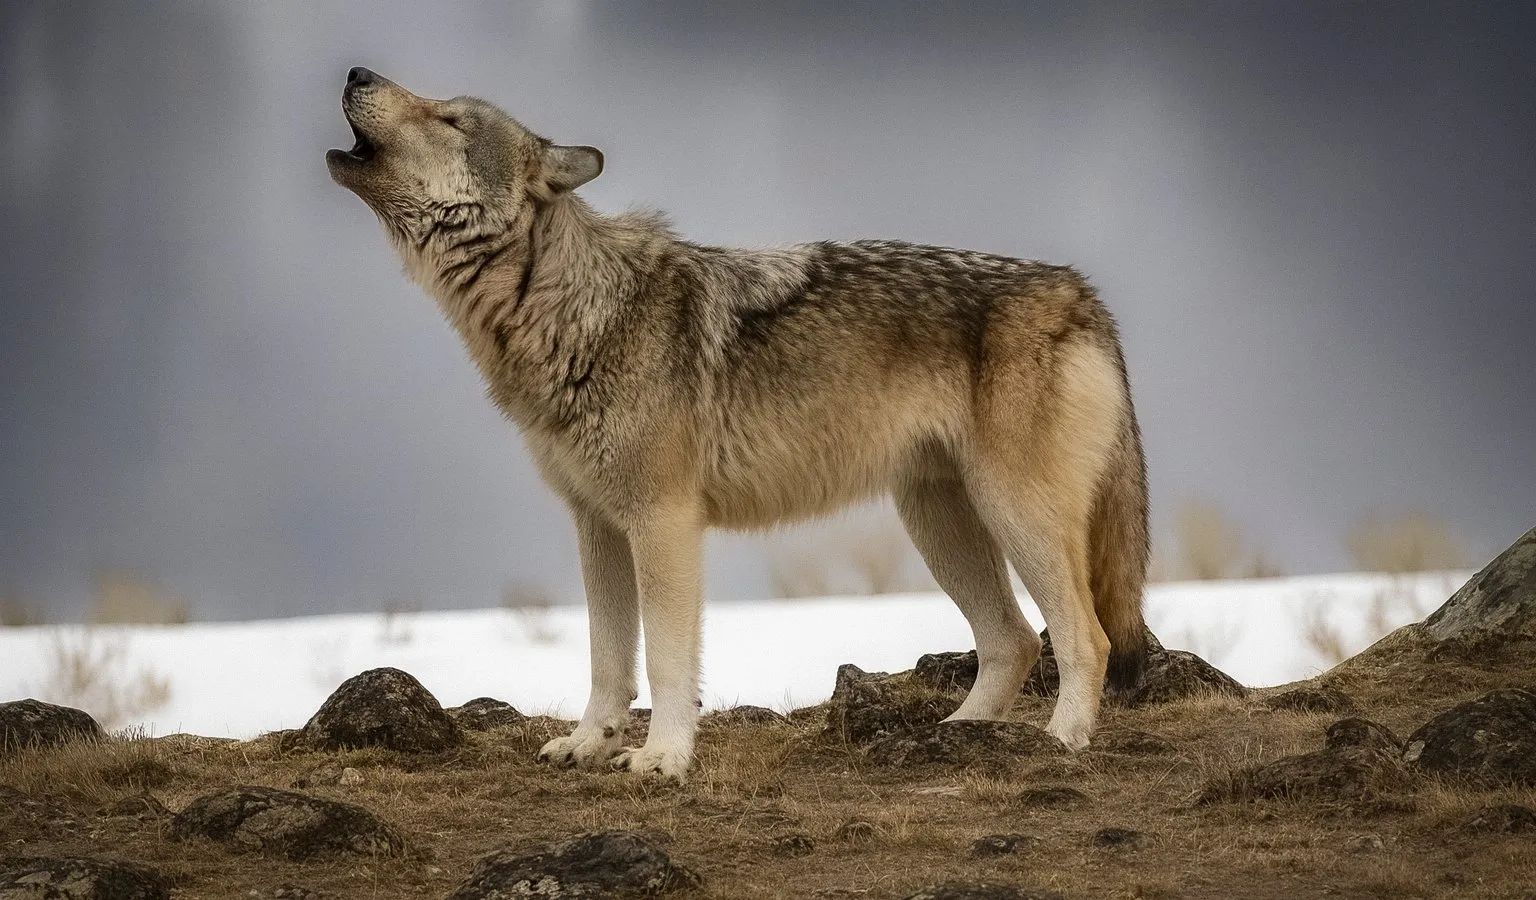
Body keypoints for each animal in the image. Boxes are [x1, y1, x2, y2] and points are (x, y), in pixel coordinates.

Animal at [326, 68, 1150, 780]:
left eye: (450, 119)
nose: (356, 72)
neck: (567, 309)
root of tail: (1082, 294)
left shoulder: (663, 522)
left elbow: (665, 659)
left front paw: (662, 758)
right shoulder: (596, 524)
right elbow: (606, 657)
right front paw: (591, 744)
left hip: (1014, 515)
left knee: (1086, 637)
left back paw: (1060, 741)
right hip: (937, 520)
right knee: (1012, 639)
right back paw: (956, 738)